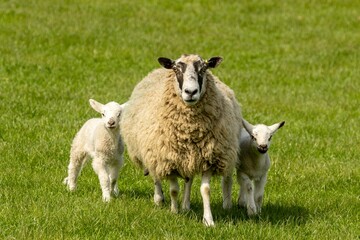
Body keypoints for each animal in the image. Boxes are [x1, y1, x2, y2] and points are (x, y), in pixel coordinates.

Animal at [121, 53, 242, 226]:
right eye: (177, 69)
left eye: (203, 69)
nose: (190, 92)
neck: (190, 131)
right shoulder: (168, 159)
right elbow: (173, 190)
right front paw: (174, 211)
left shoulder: (209, 158)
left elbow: (205, 190)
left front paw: (208, 220)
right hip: (153, 152)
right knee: (156, 175)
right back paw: (159, 199)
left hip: (189, 157)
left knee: (188, 179)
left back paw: (186, 205)